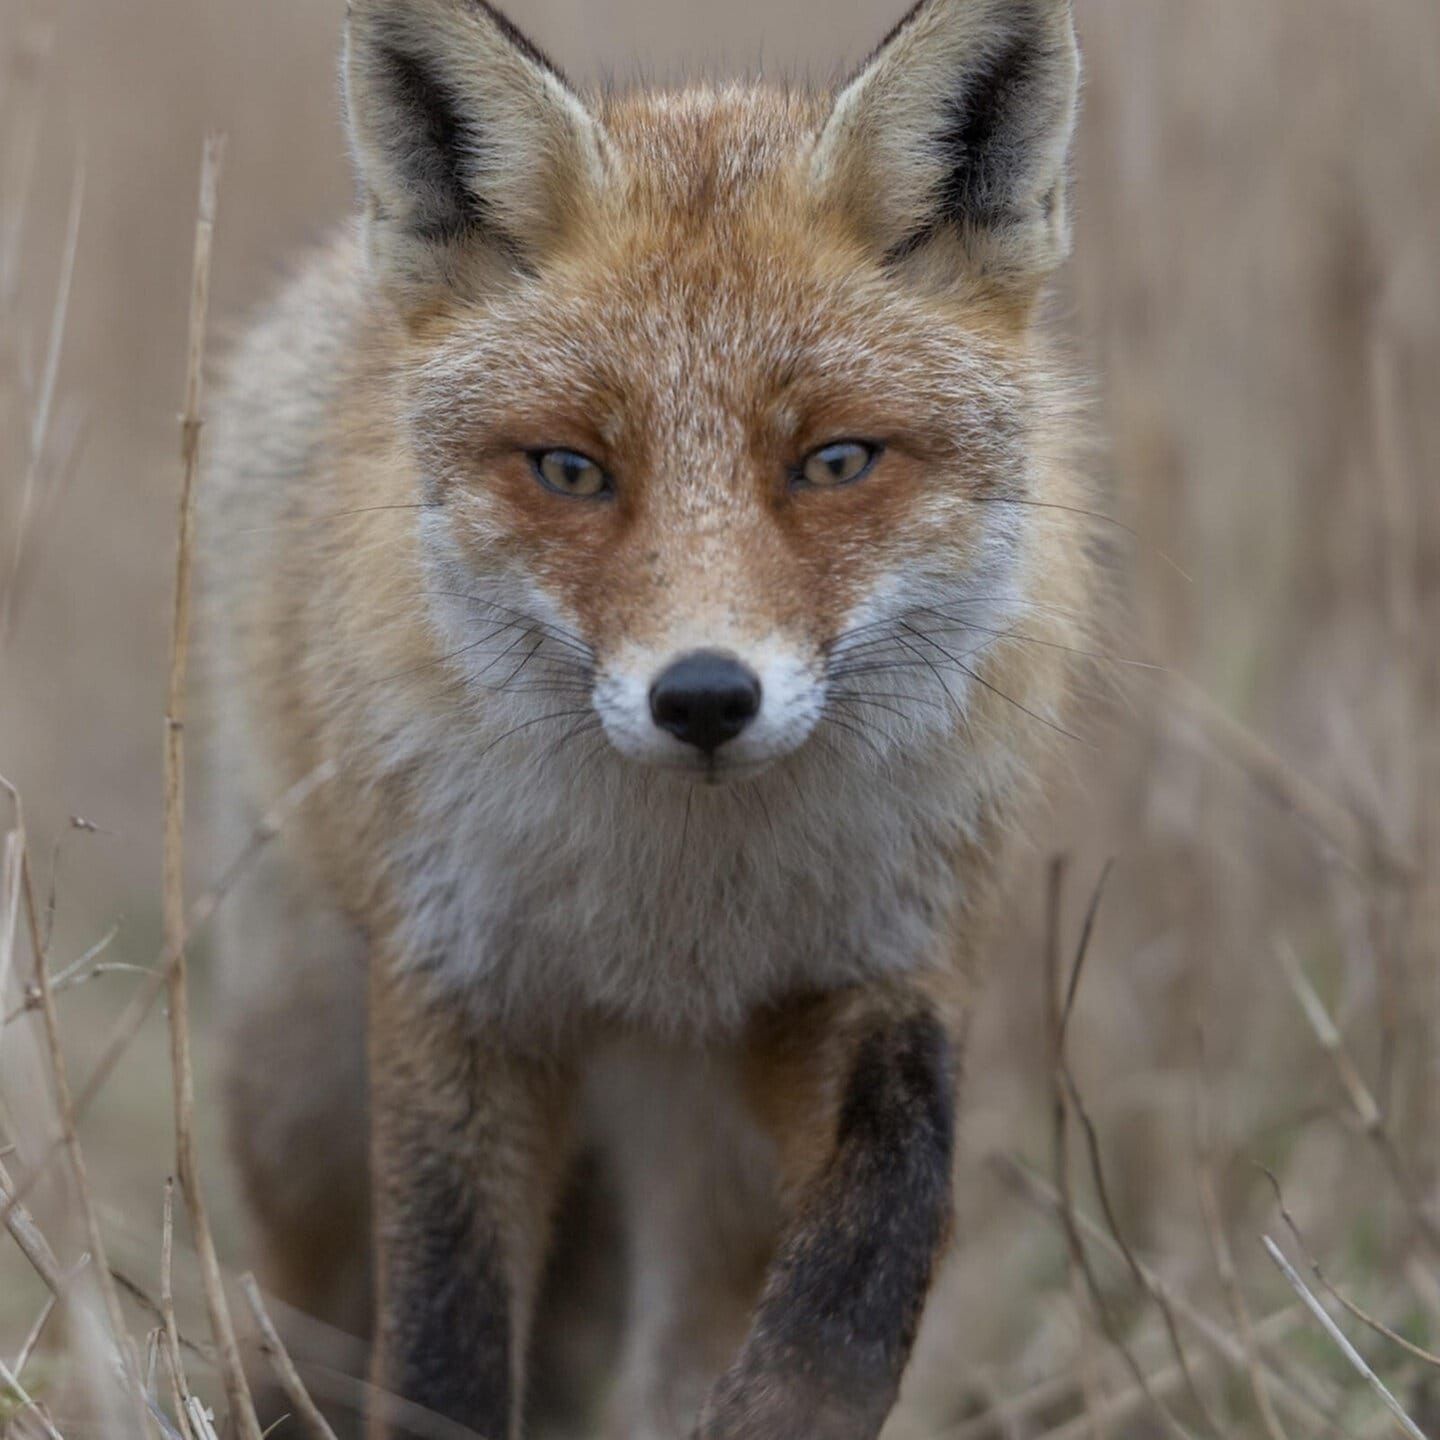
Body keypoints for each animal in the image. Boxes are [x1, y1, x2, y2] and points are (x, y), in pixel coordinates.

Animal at [203, 0, 1092, 1437]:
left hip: (699, 1158)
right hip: (298, 1099)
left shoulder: (872, 972)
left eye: (836, 460)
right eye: (572, 469)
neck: (676, 915)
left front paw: (787, 1407)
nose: (706, 696)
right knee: (305, 1311)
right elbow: (445, 1329)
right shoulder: (460, 986)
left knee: (671, 1345)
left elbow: (880, 1230)